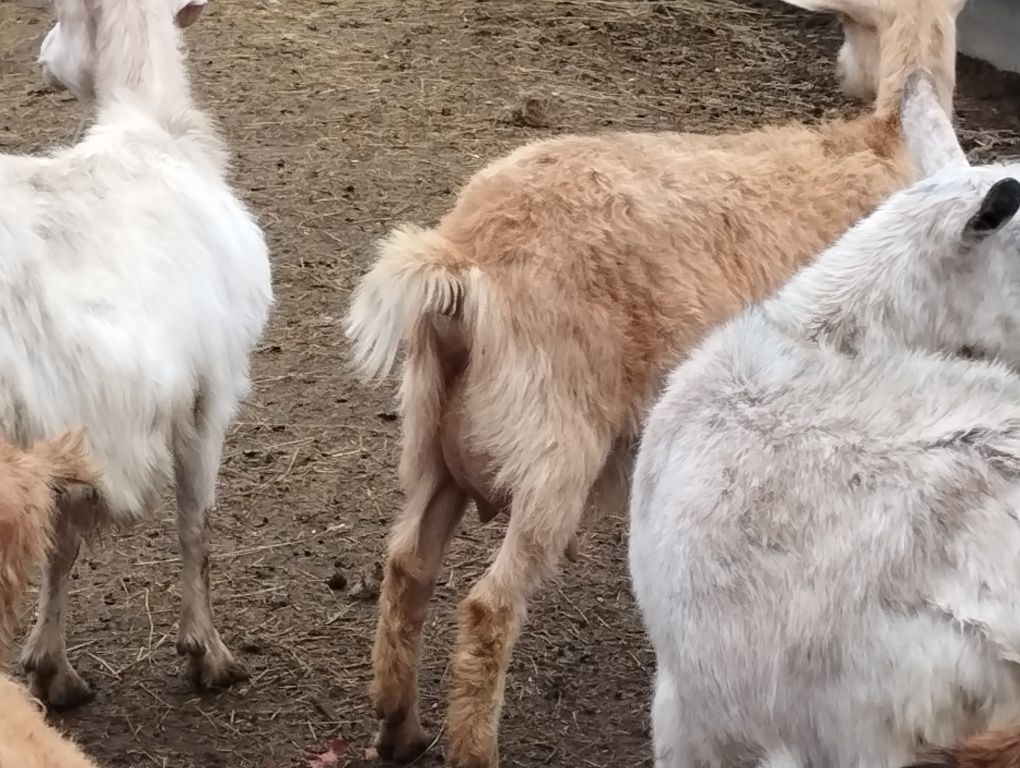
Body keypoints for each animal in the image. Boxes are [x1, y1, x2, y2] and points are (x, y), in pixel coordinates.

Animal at [2, 0, 275, 705]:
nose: (40, 55)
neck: (151, 126)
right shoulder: (209, 394)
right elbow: (196, 524)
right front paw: (207, 652)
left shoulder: (79, 433)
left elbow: (61, 546)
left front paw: (50, 666)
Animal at [342, 2, 962, 762]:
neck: (883, 141)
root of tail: (463, 267)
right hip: (553, 451)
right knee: (490, 607)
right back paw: (473, 746)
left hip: (432, 436)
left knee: (407, 567)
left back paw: (399, 726)